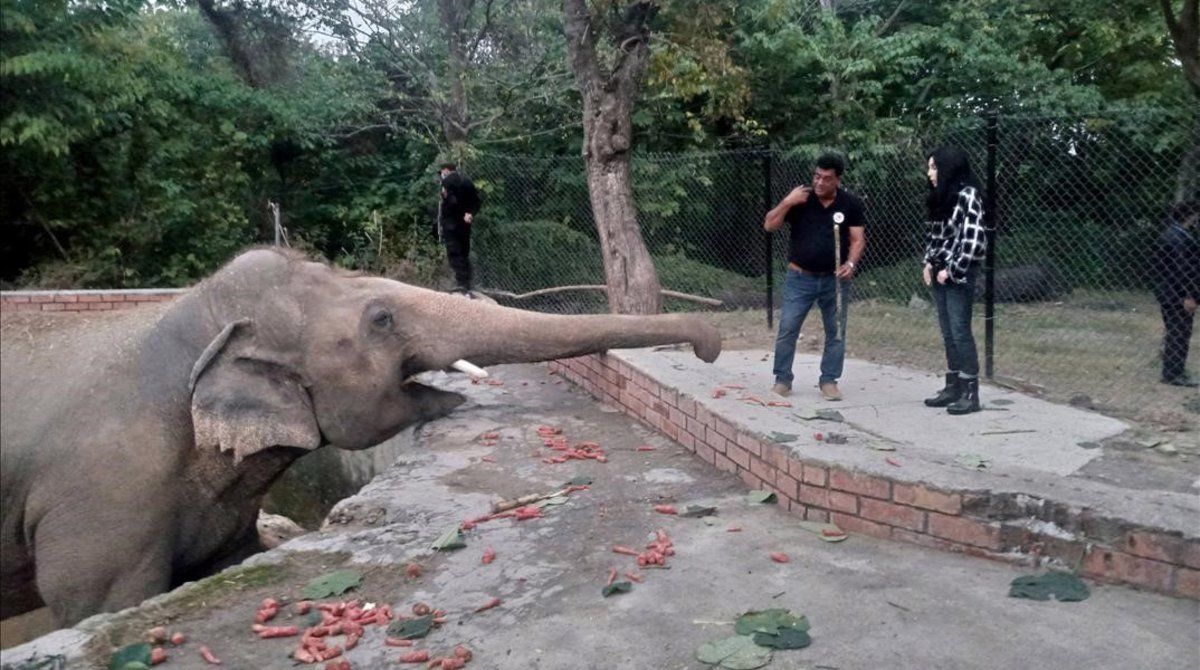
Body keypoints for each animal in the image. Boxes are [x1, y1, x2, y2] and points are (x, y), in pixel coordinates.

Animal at [0, 247, 721, 626]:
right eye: (380, 319)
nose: (708, 346)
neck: (191, 318)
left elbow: (230, 560)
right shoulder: (101, 512)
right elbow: (98, 607)